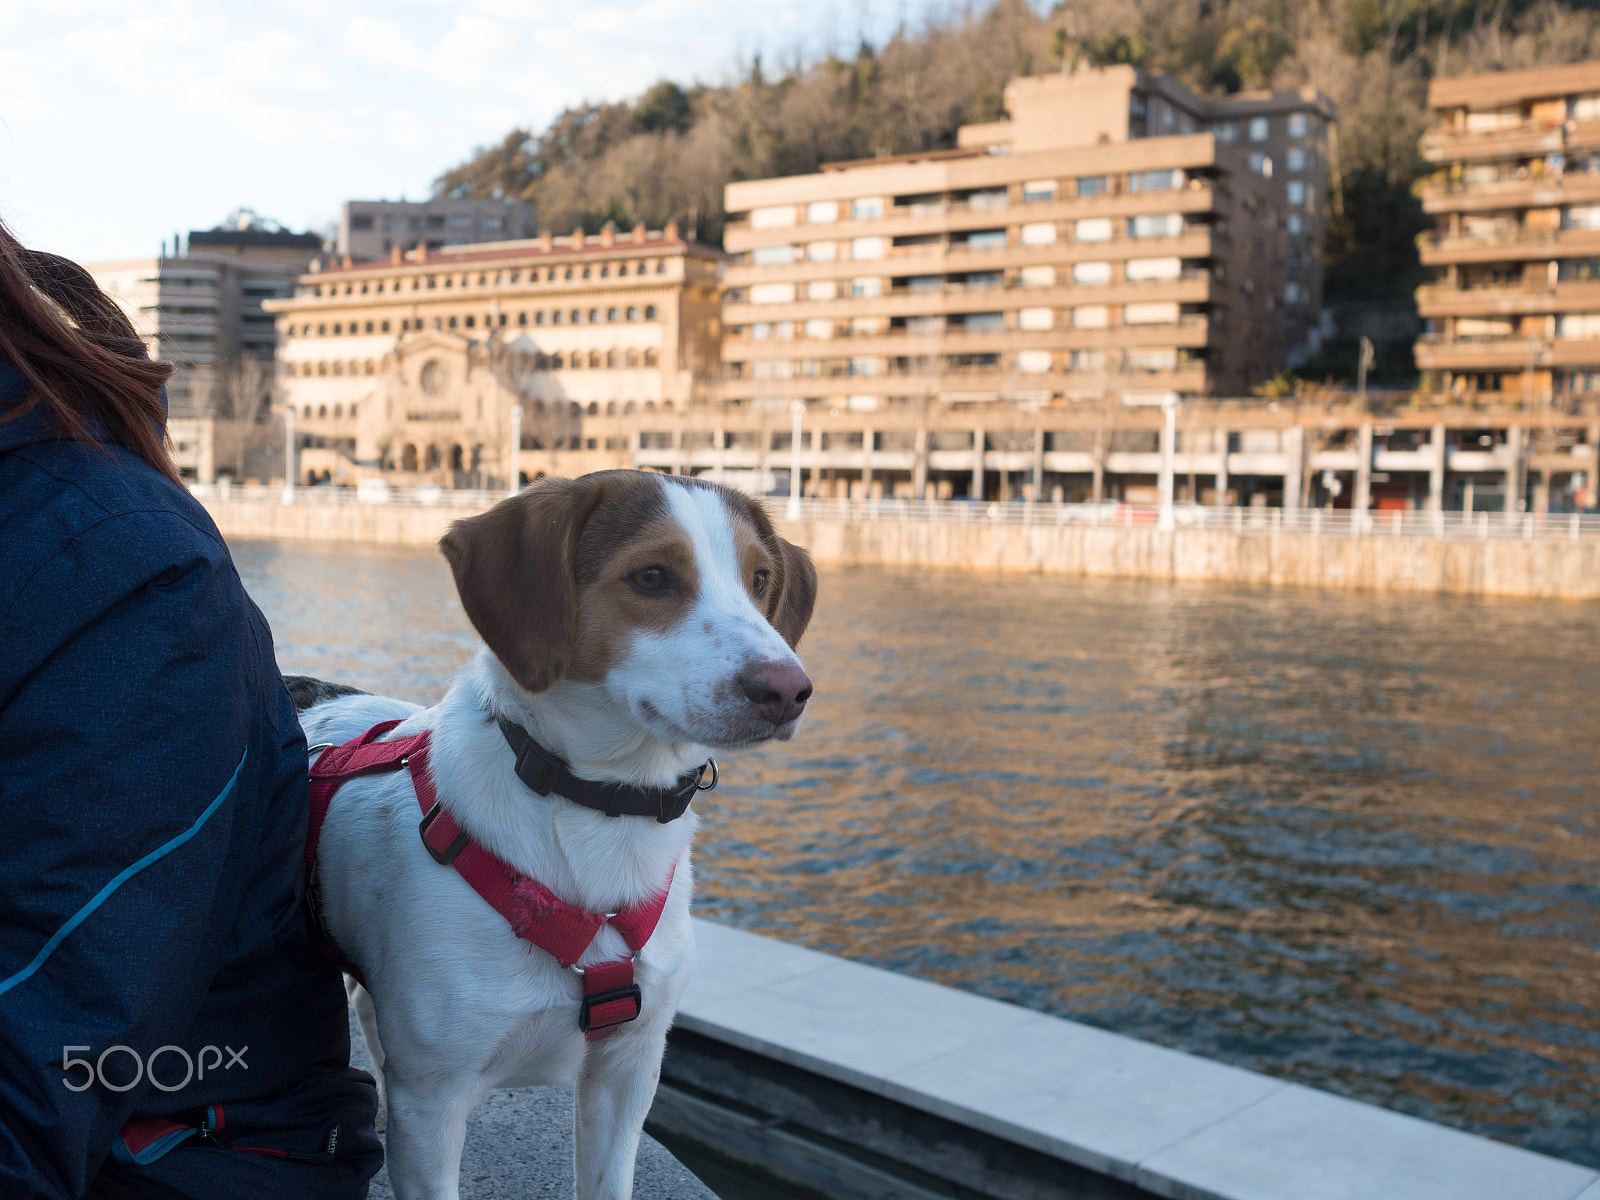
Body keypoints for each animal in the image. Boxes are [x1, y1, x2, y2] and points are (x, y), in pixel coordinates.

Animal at [291, 473, 812, 1200]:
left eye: (761, 579)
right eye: (652, 576)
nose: (788, 688)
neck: (601, 811)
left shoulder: (627, 1072)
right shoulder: (435, 1102)